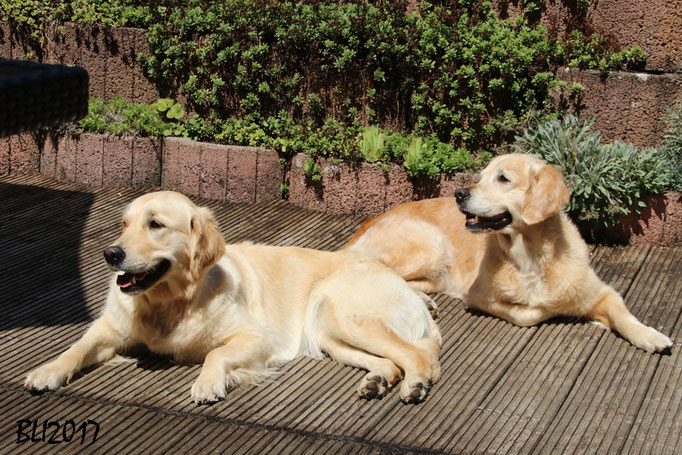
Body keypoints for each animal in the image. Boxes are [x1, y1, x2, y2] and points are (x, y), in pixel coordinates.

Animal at [23, 191, 438, 404]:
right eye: (124, 224)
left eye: (155, 224)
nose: (111, 254)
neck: (170, 303)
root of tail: (409, 290)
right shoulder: (108, 327)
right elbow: (76, 347)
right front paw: (47, 370)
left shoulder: (256, 338)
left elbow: (215, 354)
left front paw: (208, 383)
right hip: (328, 332)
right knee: (391, 362)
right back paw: (377, 381)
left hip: (341, 313)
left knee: (416, 356)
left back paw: (415, 385)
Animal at [348, 153, 672, 352]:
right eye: (480, 177)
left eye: (502, 178)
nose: (459, 194)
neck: (530, 258)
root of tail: (367, 223)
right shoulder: (478, 296)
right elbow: (530, 314)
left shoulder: (601, 292)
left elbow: (623, 314)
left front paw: (649, 334)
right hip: (432, 244)